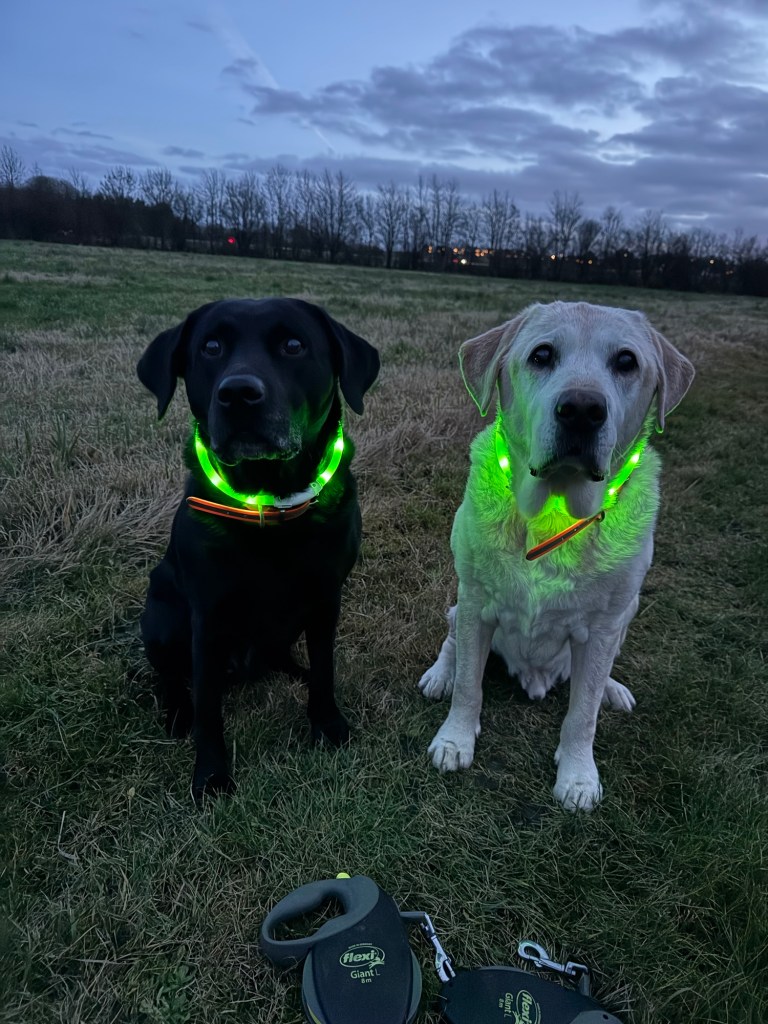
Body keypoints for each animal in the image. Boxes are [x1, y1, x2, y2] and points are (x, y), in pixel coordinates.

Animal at [137, 298, 379, 800]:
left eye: (294, 345)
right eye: (210, 346)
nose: (238, 394)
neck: (268, 502)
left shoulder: (326, 597)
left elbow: (325, 669)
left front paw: (327, 724)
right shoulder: (207, 617)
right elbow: (208, 707)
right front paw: (211, 774)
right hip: (160, 618)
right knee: (171, 676)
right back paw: (176, 712)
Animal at [419, 301, 694, 810]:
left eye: (626, 361)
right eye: (542, 355)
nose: (582, 410)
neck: (553, 511)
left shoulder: (604, 628)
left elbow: (582, 713)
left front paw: (578, 777)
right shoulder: (476, 602)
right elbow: (469, 684)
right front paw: (454, 740)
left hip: (627, 614)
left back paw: (612, 690)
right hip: (458, 605)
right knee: (451, 644)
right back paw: (439, 675)